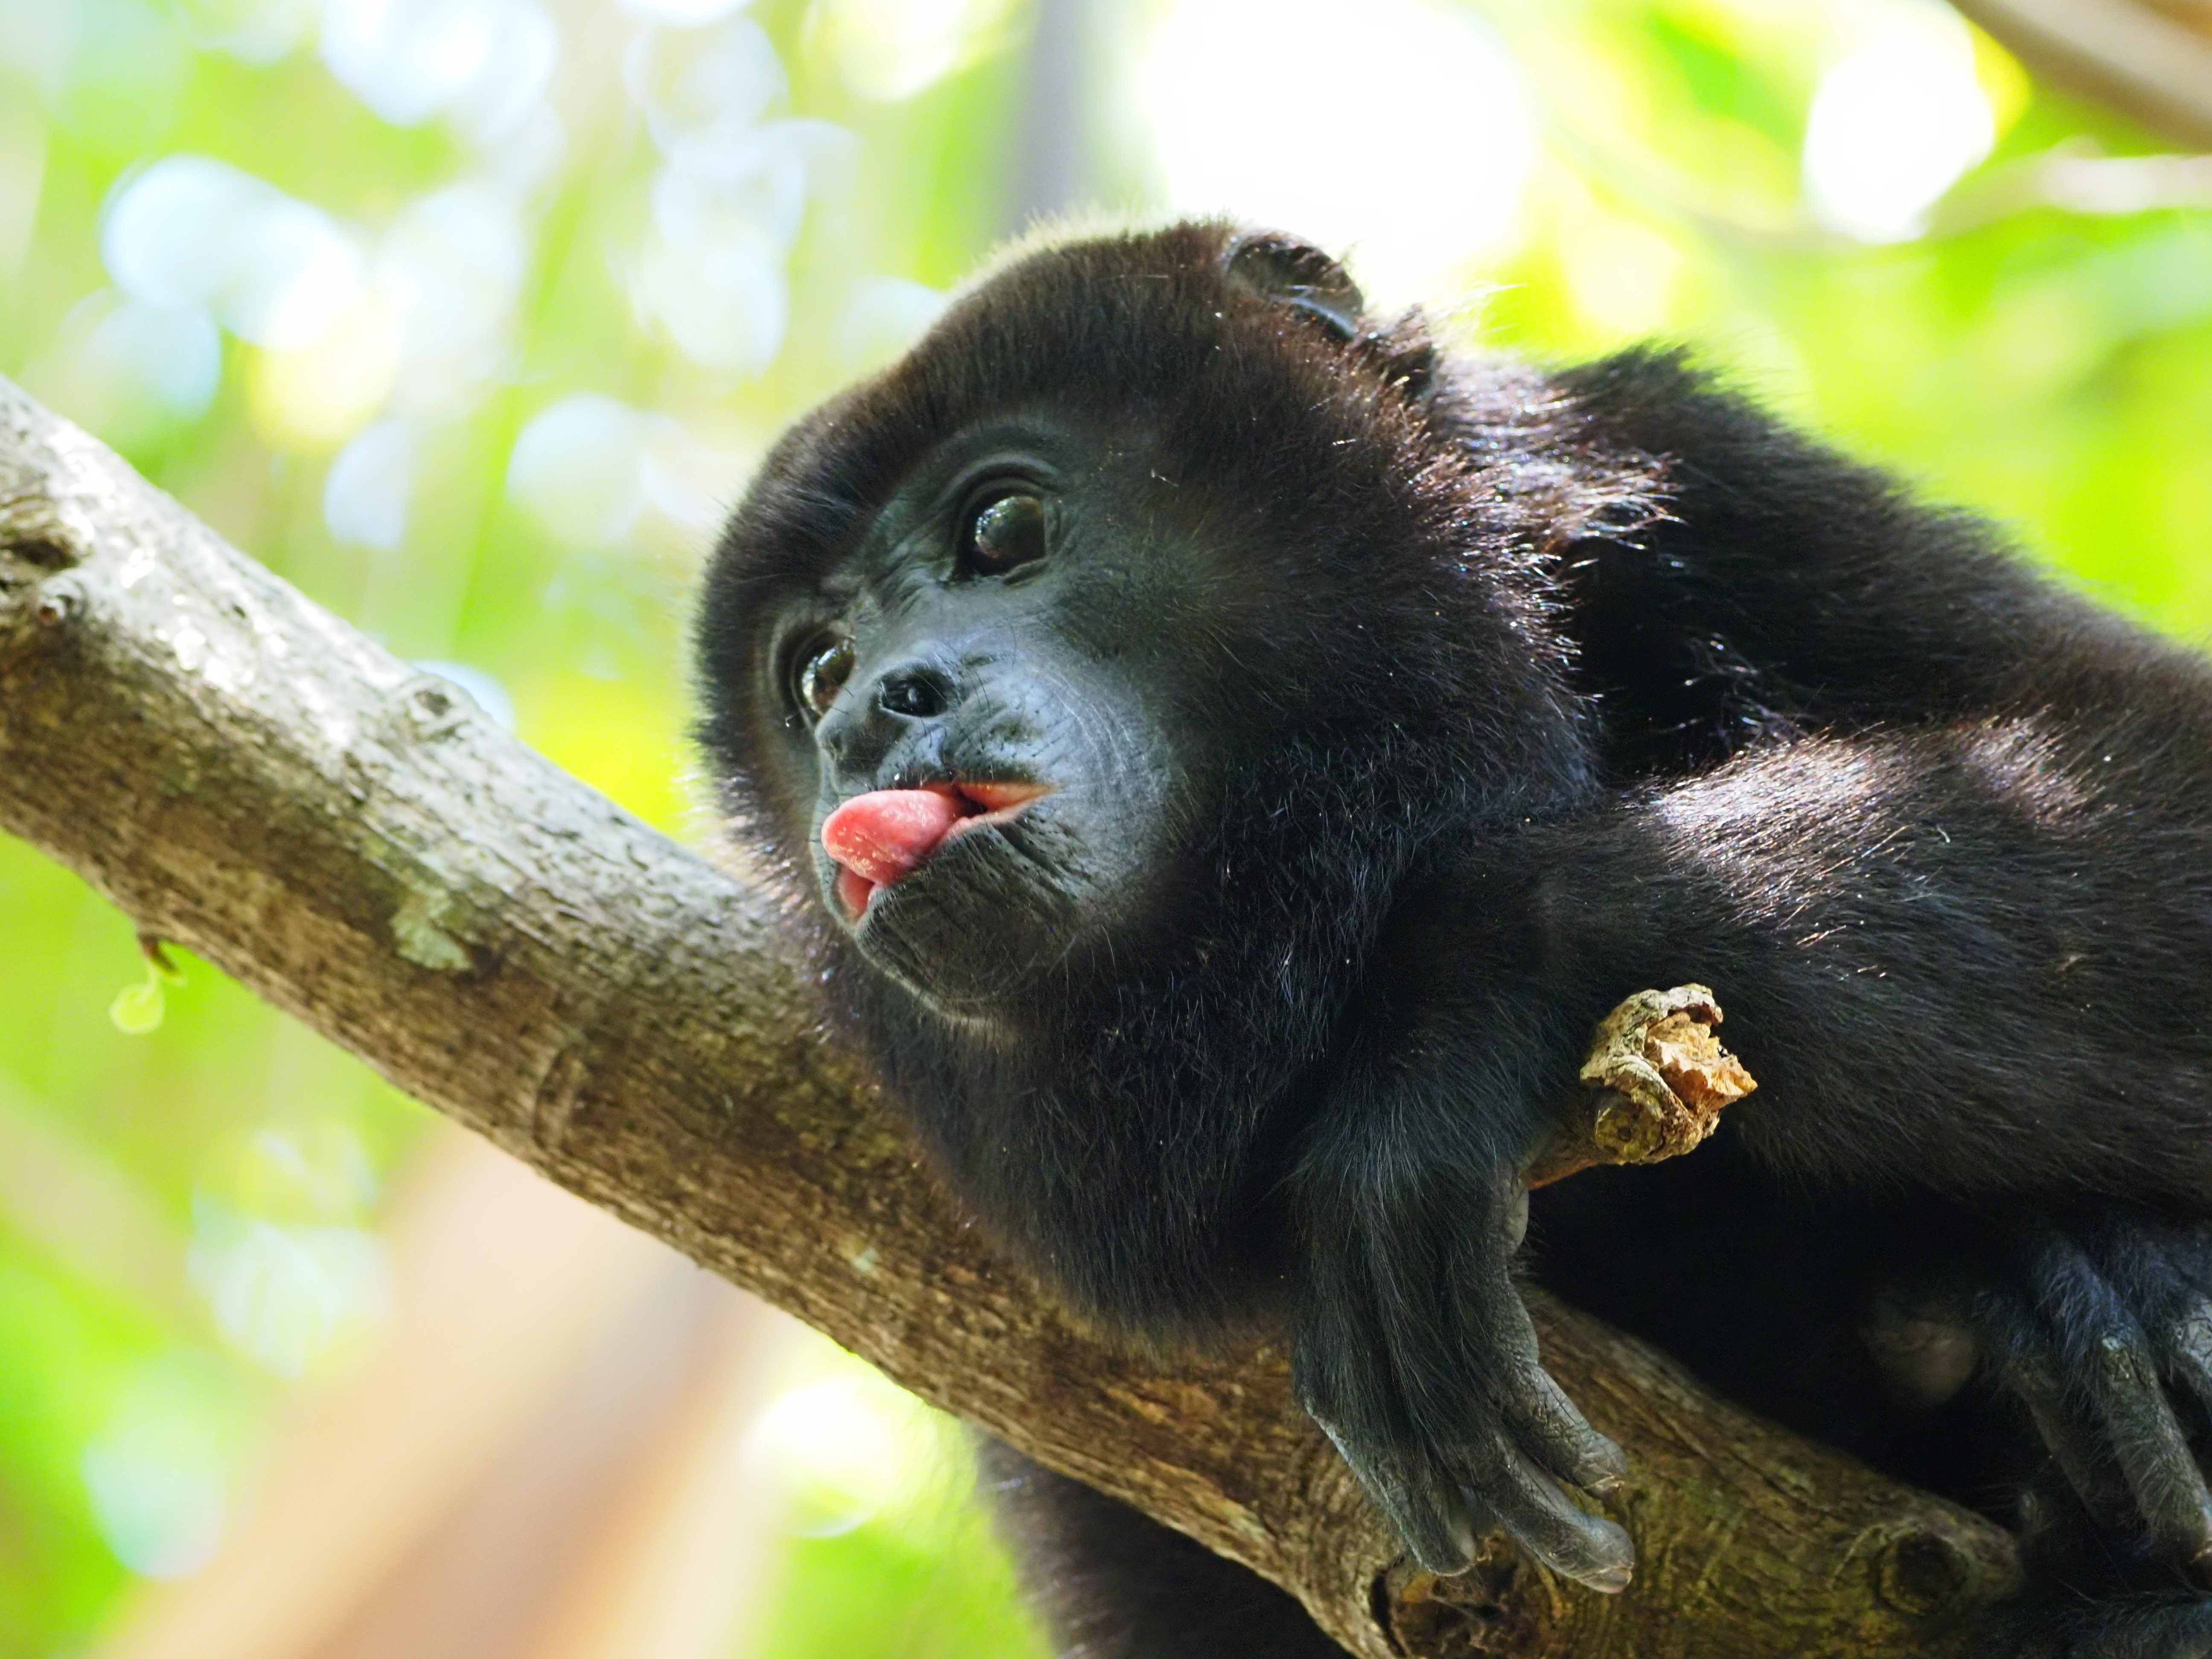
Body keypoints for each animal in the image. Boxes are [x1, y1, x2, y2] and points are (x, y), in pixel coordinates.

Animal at [694, 221, 2212, 1656]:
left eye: (1002, 528)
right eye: (814, 670)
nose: (871, 714)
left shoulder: (1680, 468)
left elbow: (2155, 754)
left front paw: (1467, 1015)